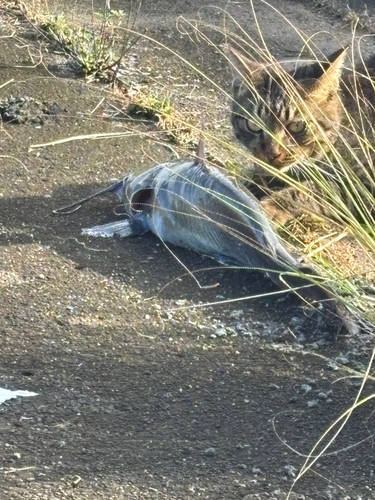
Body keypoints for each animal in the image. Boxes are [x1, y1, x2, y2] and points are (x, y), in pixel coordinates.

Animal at [228, 45, 375, 225]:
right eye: (254, 125)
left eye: (297, 126)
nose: (272, 153)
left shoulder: (365, 182)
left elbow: (315, 190)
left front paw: (273, 205)